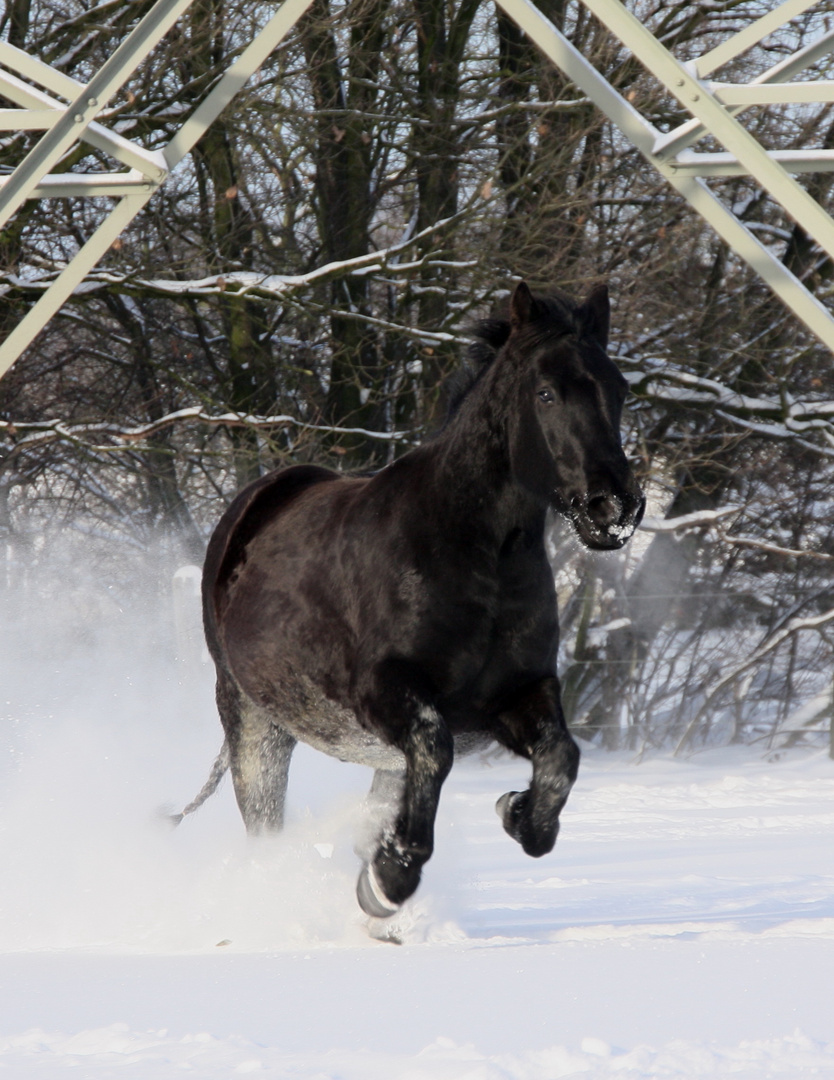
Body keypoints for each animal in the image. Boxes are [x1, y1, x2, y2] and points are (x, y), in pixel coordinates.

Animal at [177, 280, 643, 920]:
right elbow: (434, 748)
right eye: (546, 392)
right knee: (265, 822)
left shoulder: (519, 694)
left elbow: (561, 758)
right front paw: (393, 875)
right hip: (255, 719)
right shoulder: (387, 694)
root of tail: (256, 502)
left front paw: (521, 816)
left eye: (619, 390)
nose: (614, 508)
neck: (474, 553)